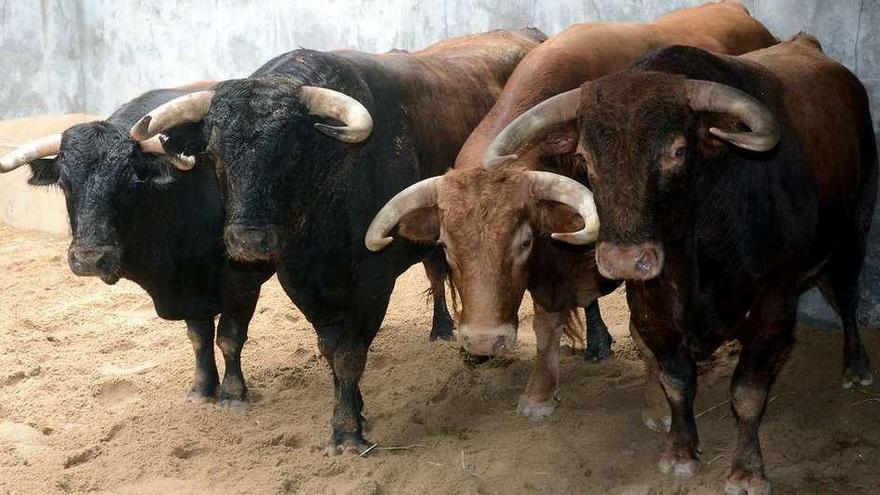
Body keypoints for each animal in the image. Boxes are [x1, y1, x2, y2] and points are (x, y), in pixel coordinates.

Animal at [364, 0, 776, 422]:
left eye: (523, 243)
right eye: (446, 246)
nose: (483, 341)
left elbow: (642, 329)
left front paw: (658, 404)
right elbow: (546, 327)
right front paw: (539, 394)